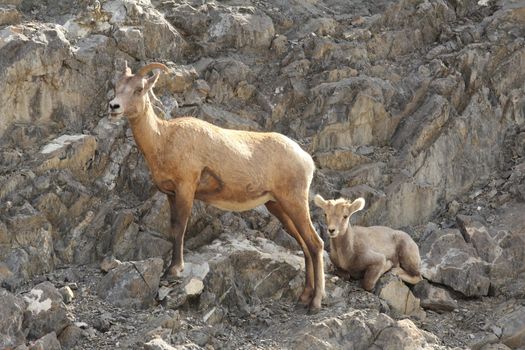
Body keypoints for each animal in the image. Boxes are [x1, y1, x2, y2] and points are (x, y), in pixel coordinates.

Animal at [108, 62, 324, 308]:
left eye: (139, 89)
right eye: (116, 86)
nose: (113, 106)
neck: (163, 140)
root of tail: (306, 159)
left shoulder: (186, 188)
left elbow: (180, 227)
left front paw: (174, 270)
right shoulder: (171, 194)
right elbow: (173, 227)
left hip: (294, 201)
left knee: (316, 243)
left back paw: (315, 303)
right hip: (277, 205)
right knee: (304, 245)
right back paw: (304, 297)